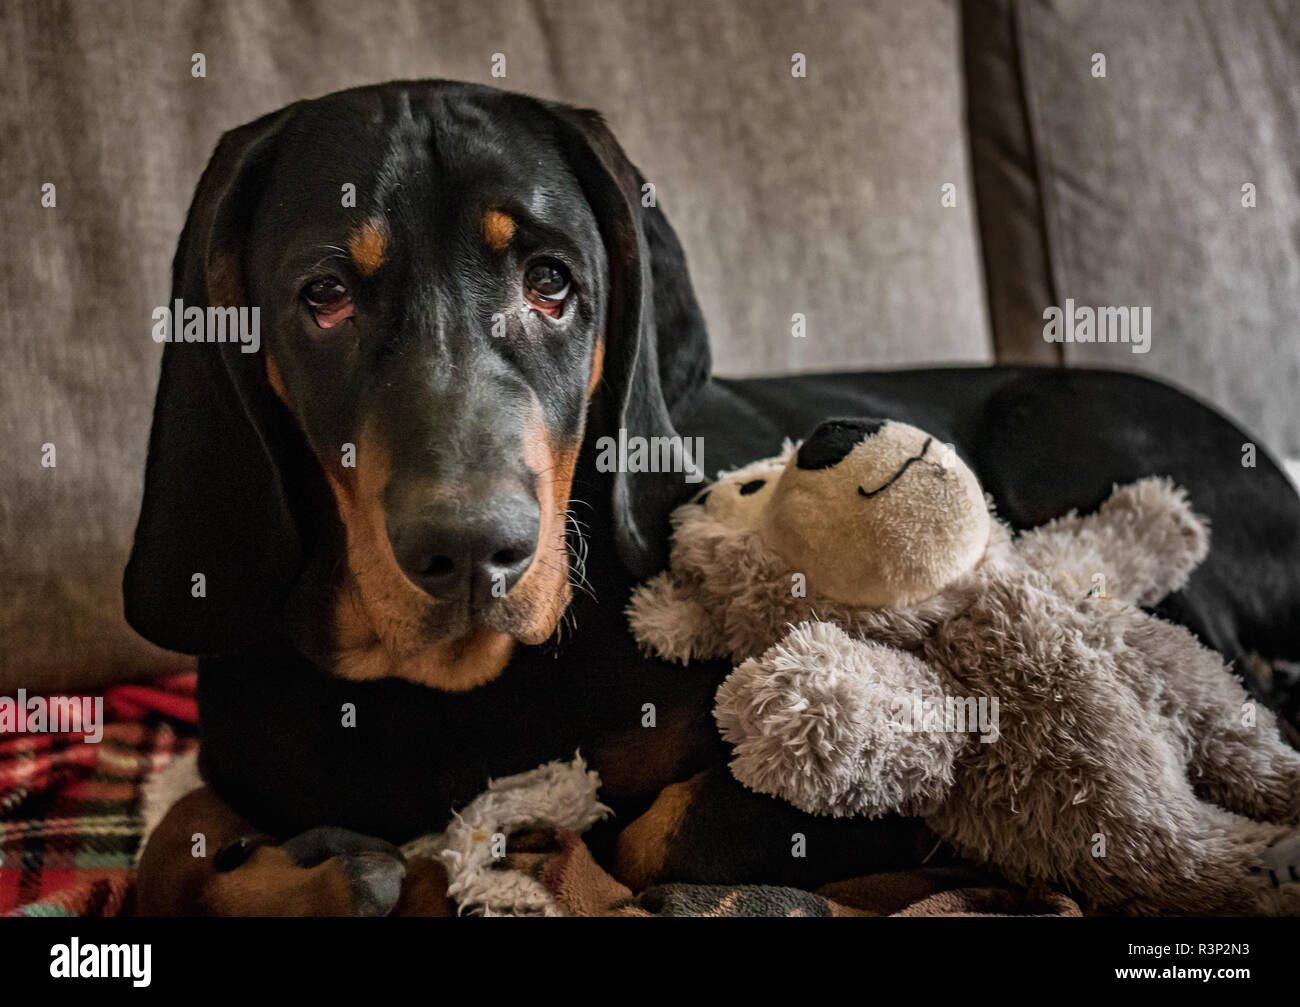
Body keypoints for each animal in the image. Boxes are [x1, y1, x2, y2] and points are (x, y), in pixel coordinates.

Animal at [126, 78, 1300, 914]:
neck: (453, 693)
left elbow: (659, 829)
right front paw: (332, 870)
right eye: (322, 295)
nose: (473, 552)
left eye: (552, 284)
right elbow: (168, 844)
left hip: (1069, 440)